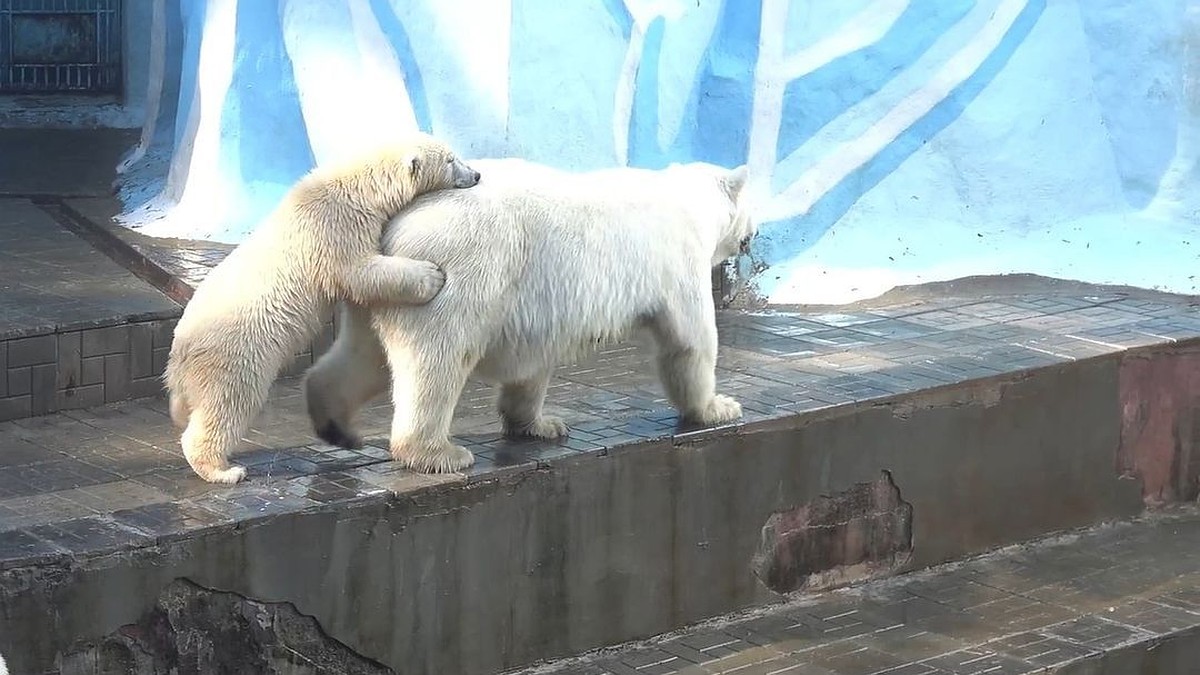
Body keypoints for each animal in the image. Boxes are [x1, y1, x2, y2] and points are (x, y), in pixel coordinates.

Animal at [165, 133, 482, 480]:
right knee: (229, 403)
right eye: (451, 161)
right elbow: (359, 272)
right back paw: (224, 470)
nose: (477, 175)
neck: (355, 187)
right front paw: (431, 275)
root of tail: (180, 352)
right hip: (235, 354)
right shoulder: (337, 227)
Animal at [304, 157, 753, 473]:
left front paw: (541, 424)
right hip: (459, 268)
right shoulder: (677, 261)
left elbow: (532, 363)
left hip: (387, 285)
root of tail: (396, 225)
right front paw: (718, 407)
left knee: (365, 357)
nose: (755, 233)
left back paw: (333, 420)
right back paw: (437, 452)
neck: (686, 202)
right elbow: (691, 340)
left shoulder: (542, 306)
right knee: (438, 358)